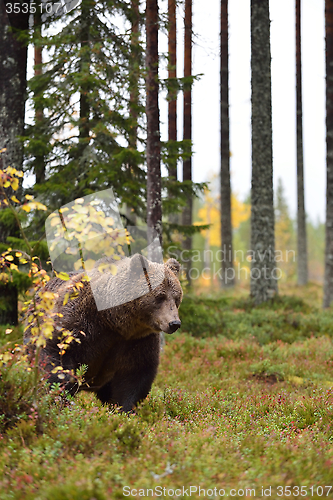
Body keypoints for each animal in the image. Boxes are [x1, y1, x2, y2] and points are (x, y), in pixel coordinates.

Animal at [24, 256, 183, 412]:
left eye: (176, 298)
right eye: (160, 297)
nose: (174, 323)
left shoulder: (137, 341)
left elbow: (134, 376)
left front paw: (124, 409)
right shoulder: (78, 325)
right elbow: (57, 359)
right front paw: (58, 399)